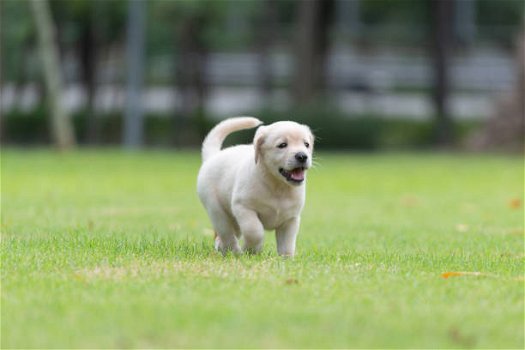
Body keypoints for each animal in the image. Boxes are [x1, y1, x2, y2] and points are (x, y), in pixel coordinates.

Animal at [195, 116, 312, 256]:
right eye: (282, 145)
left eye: (306, 144)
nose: (302, 156)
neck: (277, 186)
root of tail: (213, 156)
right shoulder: (243, 208)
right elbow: (255, 232)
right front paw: (251, 250)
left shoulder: (290, 219)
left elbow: (287, 244)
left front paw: (287, 258)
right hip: (217, 211)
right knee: (227, 234)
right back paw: (235, 252)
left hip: (233, 220)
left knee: (223, 237)